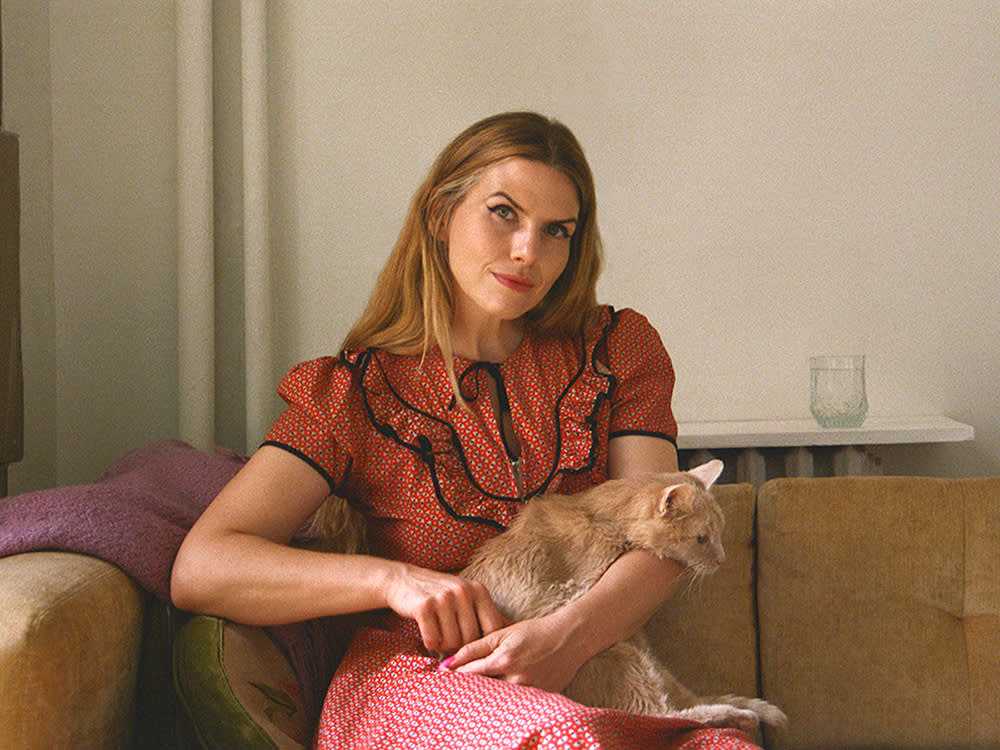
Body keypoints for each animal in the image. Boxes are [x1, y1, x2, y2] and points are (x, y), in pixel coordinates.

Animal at [458, 462, 780, 732]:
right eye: (701, 538)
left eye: (721, 531)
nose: (722, 560)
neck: (598, 517)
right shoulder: (570, 594)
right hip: (620, 652)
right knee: (660, 714)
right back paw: (732, 715)